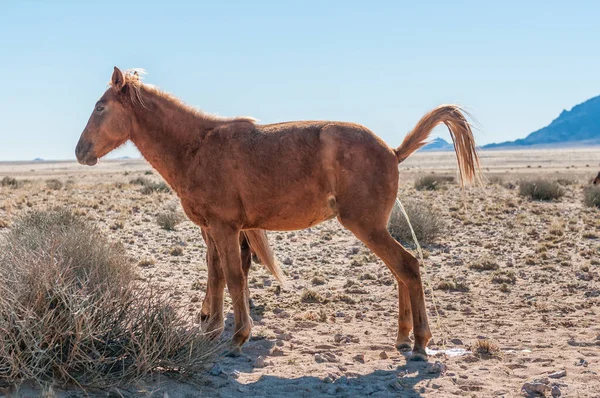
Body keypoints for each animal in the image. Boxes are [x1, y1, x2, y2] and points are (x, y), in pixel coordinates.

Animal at [75, 67, 480, 360]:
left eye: (99, 107)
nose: (80, 151)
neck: (197, 147)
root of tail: (393, 151)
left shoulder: (225, 228)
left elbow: (233, 278)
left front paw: (237, 337)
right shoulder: (211, 230)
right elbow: (215, 277)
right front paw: (211, 330)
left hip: (366, 226)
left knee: (408, 267)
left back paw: (420, 342)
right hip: (371, 228)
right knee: (400, 272)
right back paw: (401, 337)